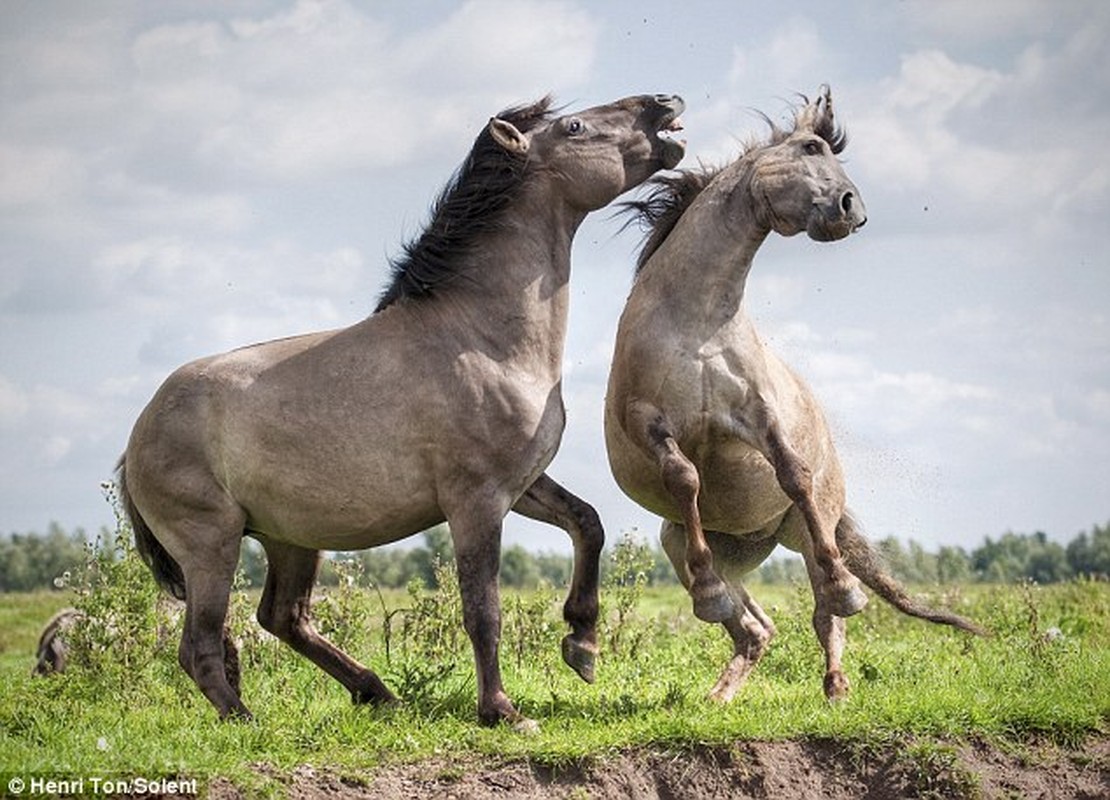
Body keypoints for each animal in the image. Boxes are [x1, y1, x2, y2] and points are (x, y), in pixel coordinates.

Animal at [125, 93, 688, 732]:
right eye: (574, 126)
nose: (663, 104)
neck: (481, 339)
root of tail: (135, 437)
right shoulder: (475, 501)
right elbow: (483, 609)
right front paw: (502, 710)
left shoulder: (520, 485)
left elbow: (587, 522)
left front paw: (582, 643)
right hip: (210, 545)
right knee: (200, 644)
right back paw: (246, 719)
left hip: (290, 537)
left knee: (283, 617)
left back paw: (376, 691)